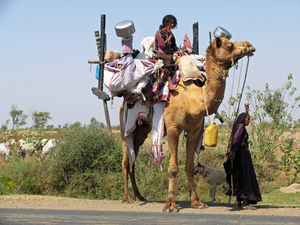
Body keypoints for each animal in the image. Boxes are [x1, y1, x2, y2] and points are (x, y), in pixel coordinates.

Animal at [119, 36, 255, 211]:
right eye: (229, 45)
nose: (249, 46)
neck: (192, 99)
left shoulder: (194, 130)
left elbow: (190, 167)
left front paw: (196, 201)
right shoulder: (172, 128)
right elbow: (172, 168)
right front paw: (170, 204)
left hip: (141, 131)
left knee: (133, 161)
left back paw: (139, 196)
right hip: (125, 128)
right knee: (125, 162)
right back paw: (127, 197)